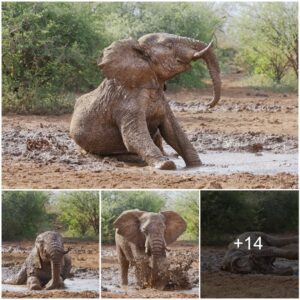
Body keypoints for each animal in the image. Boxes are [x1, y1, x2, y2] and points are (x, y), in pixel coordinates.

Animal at [69, 32, 220, 170]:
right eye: (169, 46)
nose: (208, 104)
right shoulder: (125, 101)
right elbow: (133, 136)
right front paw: (166, 165)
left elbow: (174, 132)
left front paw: (197, 166)